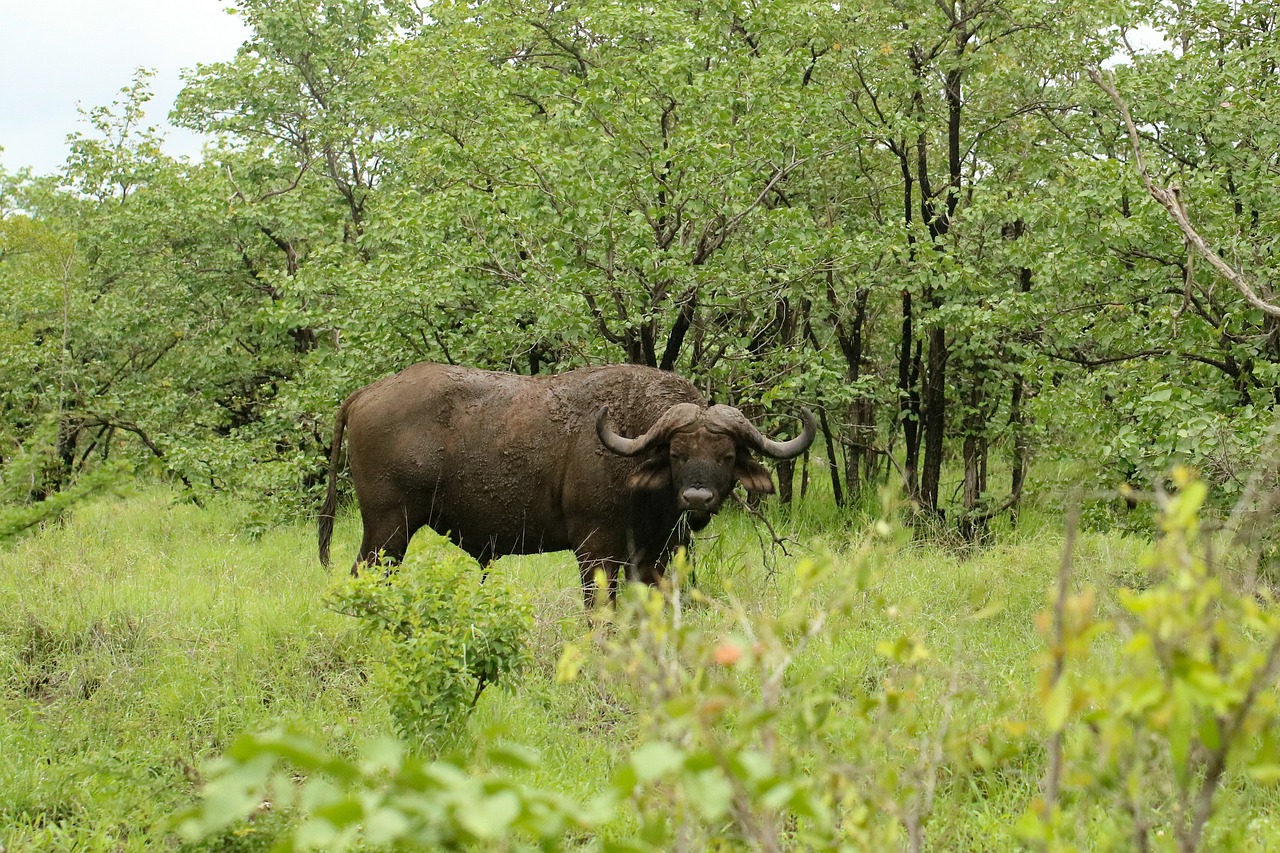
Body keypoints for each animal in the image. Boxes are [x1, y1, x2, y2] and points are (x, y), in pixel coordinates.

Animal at [318, 363, 816, 607]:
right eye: (676, 453)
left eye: (726, 456)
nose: (697, 497)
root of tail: (364, 395)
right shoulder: (596, 550)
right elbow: (600, 608)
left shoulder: (655, 553)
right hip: (388, 529)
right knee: (364, 575)